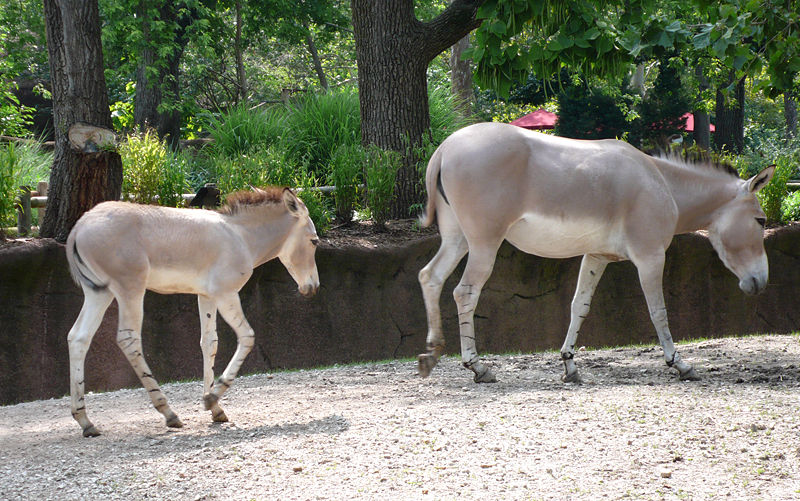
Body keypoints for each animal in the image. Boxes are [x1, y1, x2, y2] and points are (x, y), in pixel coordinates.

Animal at [65, 186, 320, 436]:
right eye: (315, 241)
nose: (313, 288)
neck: (241, 237)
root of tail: (80, 226)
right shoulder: (226, 293)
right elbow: (247, 336)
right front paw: (213, 397)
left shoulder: (207, 296)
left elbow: (209, 342)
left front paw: (215, 408)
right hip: (130, 289)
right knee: (128, 339)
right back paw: (168, 412)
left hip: (99, 292)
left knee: (78, 337)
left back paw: (85, 421)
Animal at [418, 121, 776, 382]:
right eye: (761, 220)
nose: (761, 282)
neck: (662, 184)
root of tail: (446, 147)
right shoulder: (650, 257)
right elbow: (658, 310)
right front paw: (680, 364)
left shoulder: (597, 256)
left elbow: (579, 305)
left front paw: (569, 365)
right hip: (484, 243)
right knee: (465, 292)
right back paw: (478, 367)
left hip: (457, 239)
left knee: (429, 277)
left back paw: (431, 355)